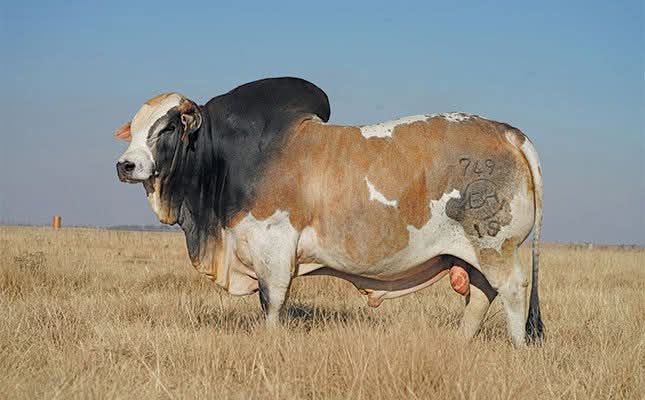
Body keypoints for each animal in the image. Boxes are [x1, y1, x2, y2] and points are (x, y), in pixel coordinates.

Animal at [115, 77, 544, 345]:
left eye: (168, 127)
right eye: (134, 128)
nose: (126, 165)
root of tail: (506, 132)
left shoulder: (273, 247)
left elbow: (272, 302)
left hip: (495, 247)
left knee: (512, 291)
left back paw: (516, 347)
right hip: (474, 255)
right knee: (480, 296)